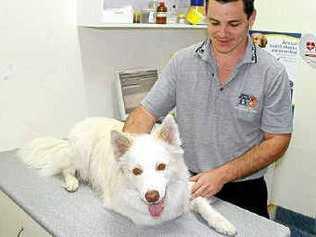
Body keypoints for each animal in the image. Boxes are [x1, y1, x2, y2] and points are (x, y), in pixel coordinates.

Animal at [18, 114, 236, 235]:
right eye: (136, 171)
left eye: (161, 166)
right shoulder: (122, 206)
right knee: (67, 169)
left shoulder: (187, 189)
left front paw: (222, 223)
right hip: (79, 155)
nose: (152, 196)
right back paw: (72, 182)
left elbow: (202, 203)